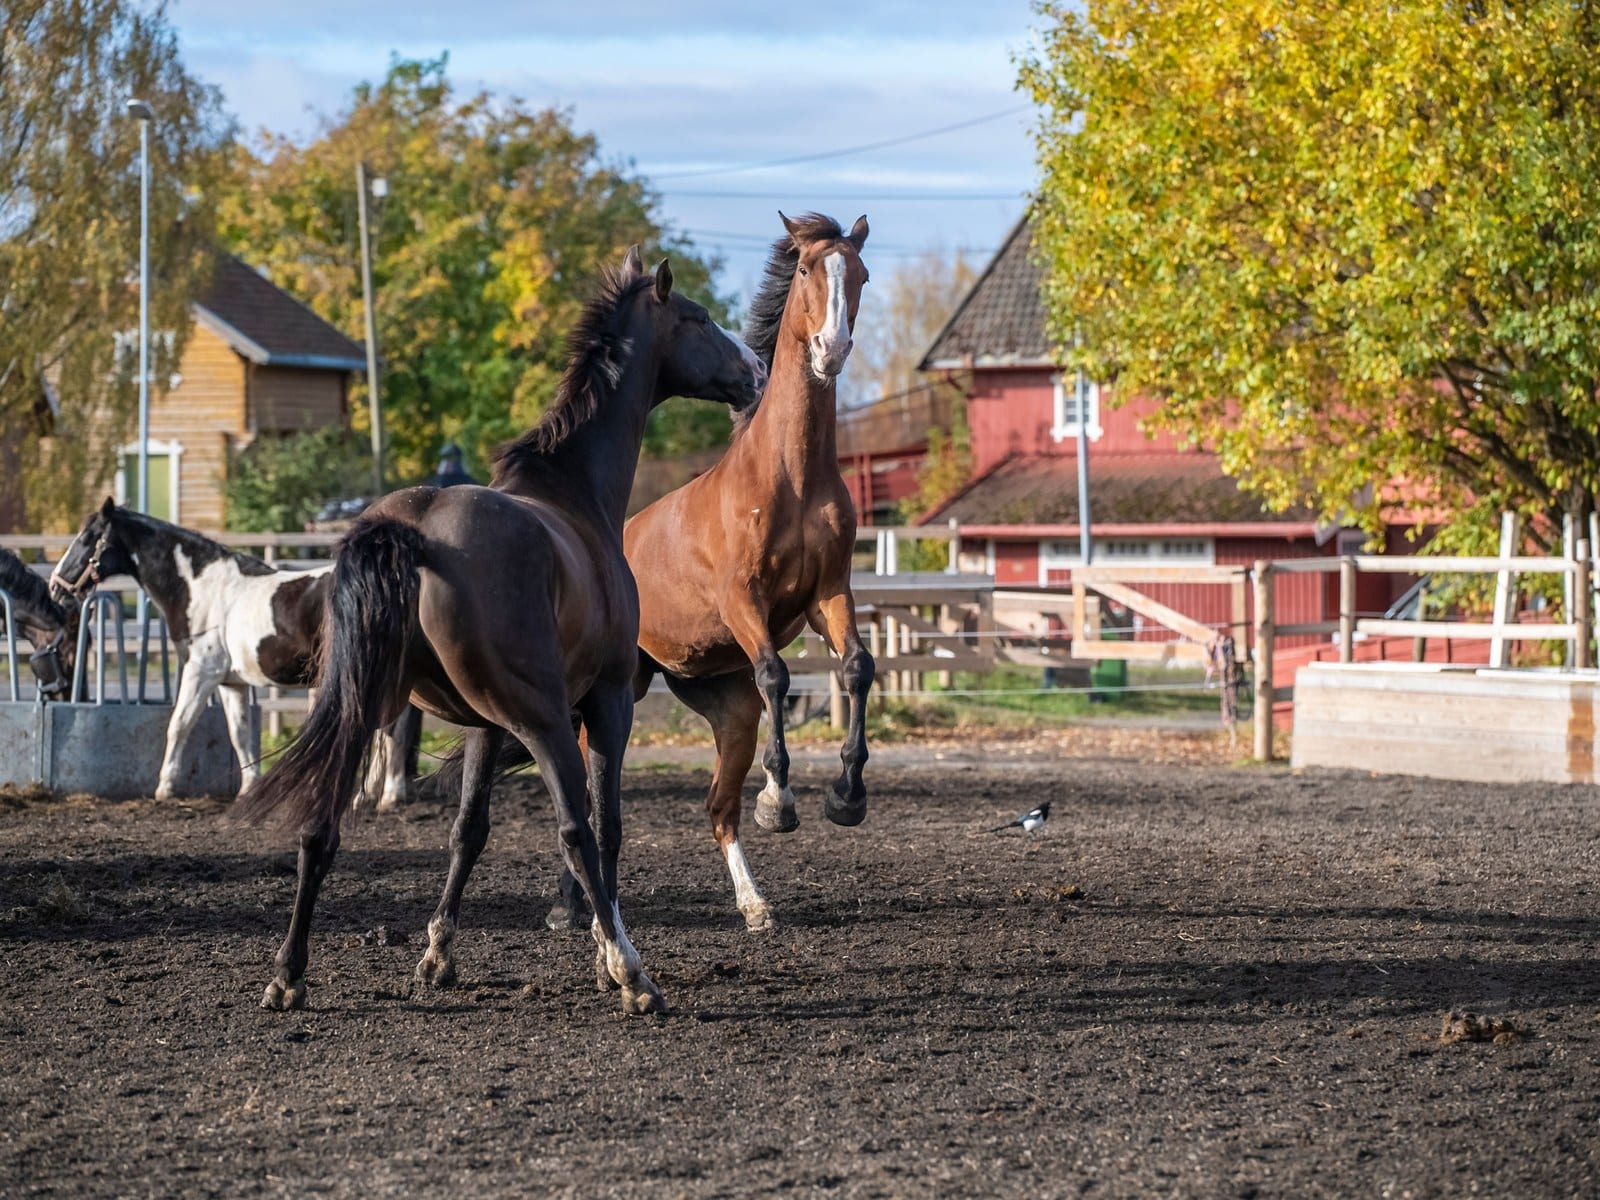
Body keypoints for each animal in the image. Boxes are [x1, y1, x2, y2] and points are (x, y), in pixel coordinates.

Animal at [47, 503, 413, 805]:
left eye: (87, 538)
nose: (55, 586)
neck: (201, 589)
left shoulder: (201, 671)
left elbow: (179, 724)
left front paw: (165, 786)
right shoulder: (230, 683)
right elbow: (239, 734)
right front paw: (249, 787)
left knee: (387, 729)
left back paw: (378, 794)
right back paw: (381, 794)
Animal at [234, 248, 765, 1014]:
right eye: (695, 317)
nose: (755, 370)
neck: (574, 495)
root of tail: (412, 530)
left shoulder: (483, 726)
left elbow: (468, 832)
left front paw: (437, 956)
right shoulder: (606, 702)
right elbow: (604, 828)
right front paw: (607, 958)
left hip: (367, 707)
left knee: (319, 827)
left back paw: (288, 974)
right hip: (542, 718)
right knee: (575, 831)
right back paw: (635, 976)